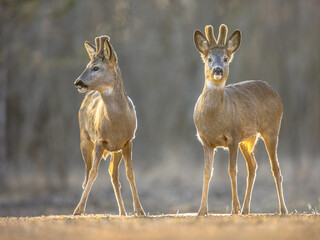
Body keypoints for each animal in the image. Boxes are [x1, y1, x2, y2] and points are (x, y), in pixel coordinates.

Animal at [73, 35, 144, 216]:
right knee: (87, 173)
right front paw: (78, 210)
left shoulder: (128, 141)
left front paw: (139, 210)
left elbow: (130, 173)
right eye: (87, 66)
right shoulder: (100, 140)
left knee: (113, 174)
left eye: (96, 67)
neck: (116, 124)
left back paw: (123, 211)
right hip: (84, 140)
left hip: (115, 150)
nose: (78, 82)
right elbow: (93, 172)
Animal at [192, 24, 288, 216]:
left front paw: (233, 208)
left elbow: (232, 170)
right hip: (248, 139)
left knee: (275, 168)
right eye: (209, 59)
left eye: (225, 59)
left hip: (271, 129)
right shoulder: (206, 141)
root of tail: (273, 90)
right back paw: (245, 209)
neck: (214, 119)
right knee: (253, 166)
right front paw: (202, 210)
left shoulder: (233, 137)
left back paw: (282, 209)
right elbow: (207, 172)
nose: (218, 70)